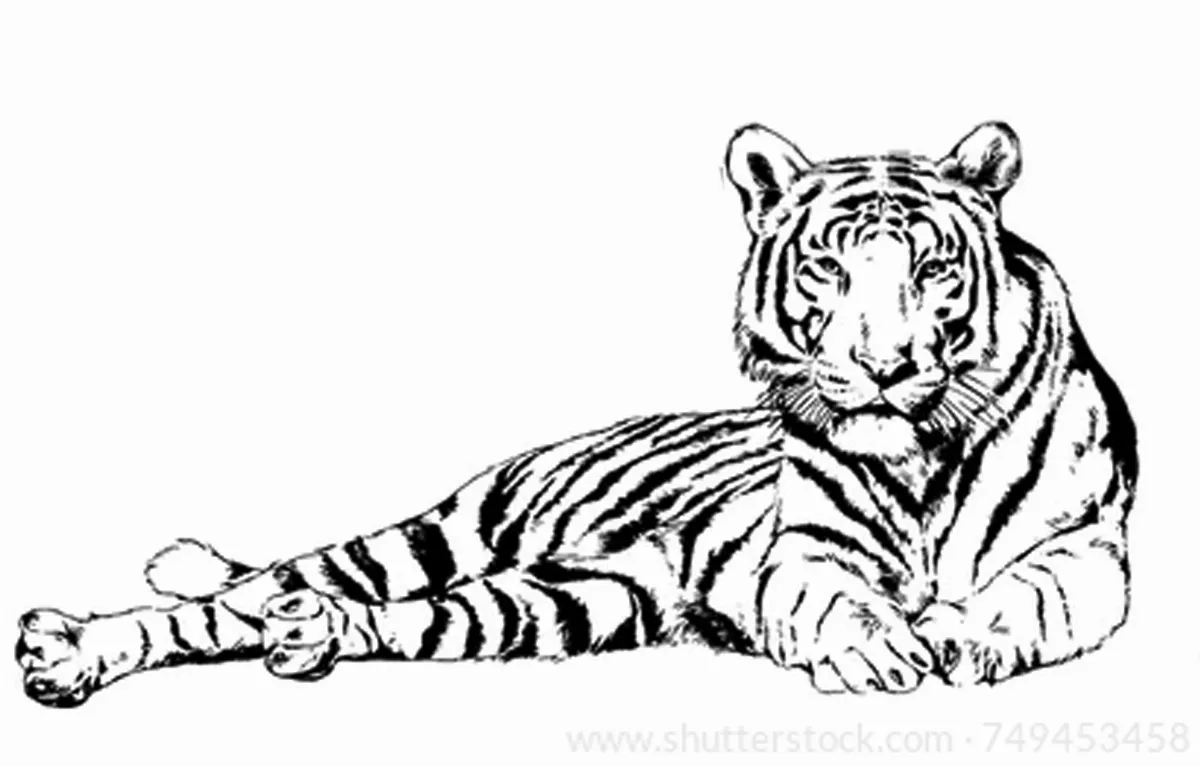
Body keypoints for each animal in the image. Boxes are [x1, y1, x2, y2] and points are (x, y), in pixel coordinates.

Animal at [16, 121, 1137, 706]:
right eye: (828, 267)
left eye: (932, 270)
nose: (883, 364)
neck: (920, 455)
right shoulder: (804, 554)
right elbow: (839, 599)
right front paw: (879, 648)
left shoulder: (1087, 552)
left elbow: (1030, 598)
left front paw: (964, 636)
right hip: (437, 538)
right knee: (236, 600)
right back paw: (65, 652)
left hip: (576, 598)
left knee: (364, 618)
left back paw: (310, 638)